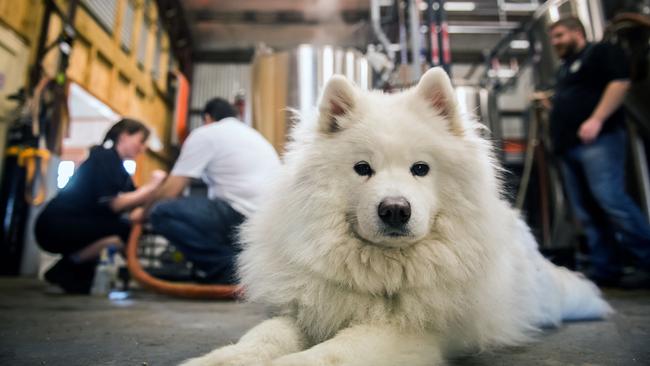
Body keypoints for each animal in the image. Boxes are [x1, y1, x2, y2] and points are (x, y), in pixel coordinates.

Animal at [180, 67, 612, 364]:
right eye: (362, 168)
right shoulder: (306, 309)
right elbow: (260, 338)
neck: (382, 270)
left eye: (420, 168)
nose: (394, 209)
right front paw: (217, 360)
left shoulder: (408, 332)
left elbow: (332, 352)